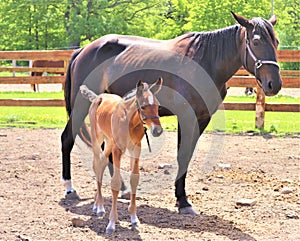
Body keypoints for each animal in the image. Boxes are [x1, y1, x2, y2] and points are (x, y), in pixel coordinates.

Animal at [61, 11, 282, 215]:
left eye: (276, 41)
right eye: (256, 41)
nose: (274, 84)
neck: (204, 63)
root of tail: (83, 51)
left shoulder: (202, 119)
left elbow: (187, 156)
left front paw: (182, 198)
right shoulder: (186, 117)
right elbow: (182, 155)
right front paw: (182, 201)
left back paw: (122, 187)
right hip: (81, 106)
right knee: (67, 139)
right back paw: (70, 188)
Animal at [79, 77, 163, 233]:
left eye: (158, 106)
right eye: (143, 107)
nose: (157, 131)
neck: (130, 121)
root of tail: (98, 97)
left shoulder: (136, 148)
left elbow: (134, 178)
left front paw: (134, 218)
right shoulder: (117, 149)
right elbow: (116, 182)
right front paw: (112, 222)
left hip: (109, 141)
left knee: (102, 162)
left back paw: (96, 203)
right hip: (97, 139)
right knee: (97, 164)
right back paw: (100, 207)